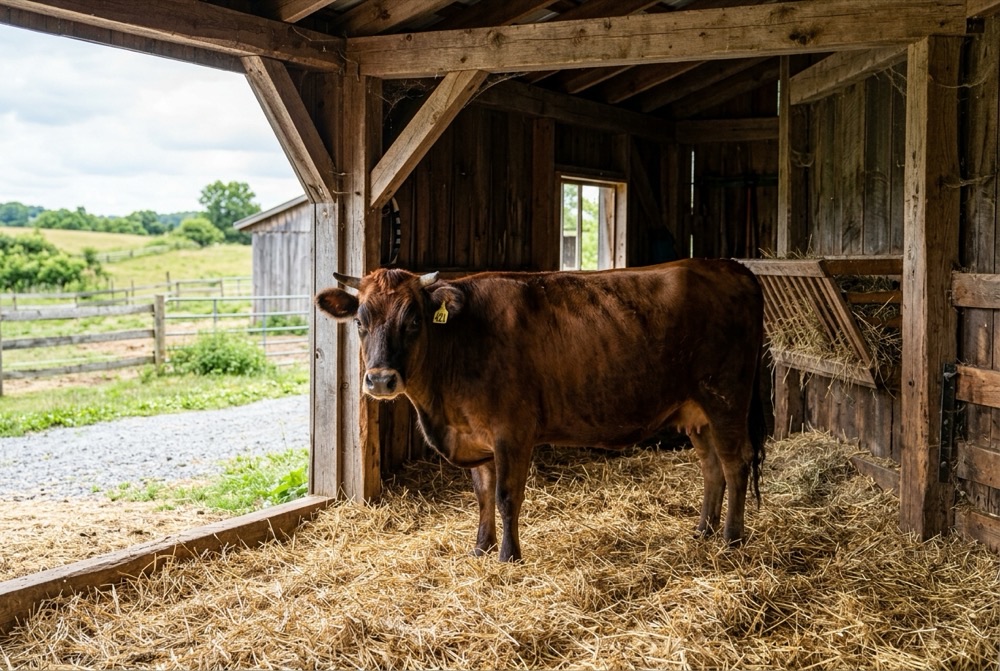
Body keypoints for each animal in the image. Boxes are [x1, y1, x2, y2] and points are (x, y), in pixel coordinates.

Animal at [316, 259, 766, 562]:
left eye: (413, 321)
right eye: (360, 321)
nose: (380, 381)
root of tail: (728, 265)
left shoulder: (512, 432)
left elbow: (506, 495)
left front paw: (509, 556)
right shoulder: (476, 433)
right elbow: (482, 494)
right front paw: (481, 548)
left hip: (726, 398)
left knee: (735, 463)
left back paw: (731, 538)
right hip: (697, 411)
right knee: (711, 467)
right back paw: (704, 530)